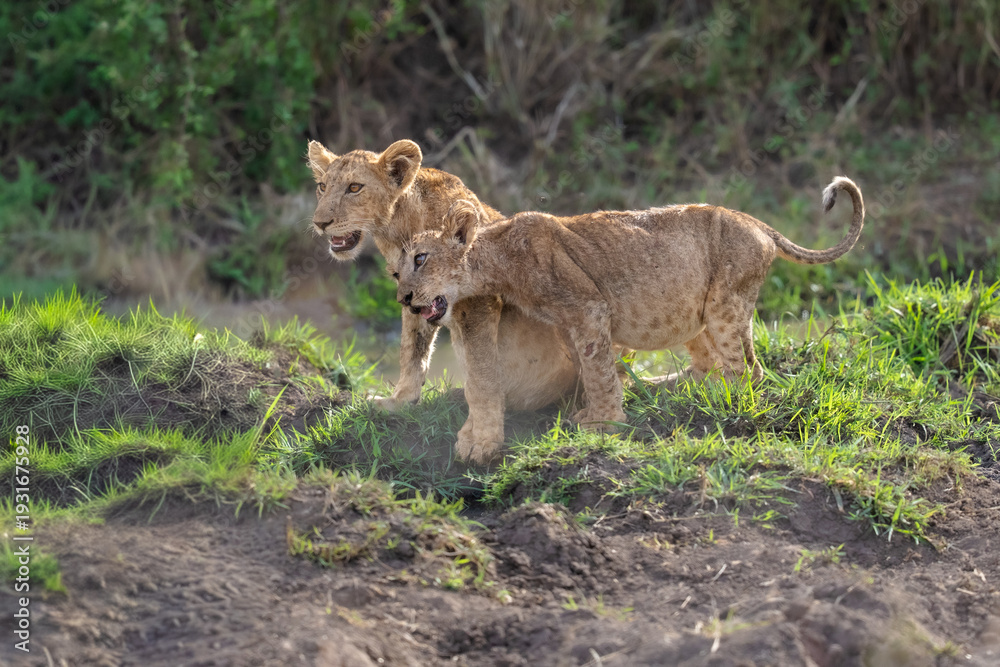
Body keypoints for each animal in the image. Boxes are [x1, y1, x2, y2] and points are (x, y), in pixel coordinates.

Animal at [307, 139, 580, 448]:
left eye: (354, 187)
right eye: (322, 186)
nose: (319, 223)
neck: (399, 228)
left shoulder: (477, 301)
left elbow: (480, 370)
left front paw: (482, 439)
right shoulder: (414, 295)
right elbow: (412, 349)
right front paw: (399, 402)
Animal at [396, 177, 865, 463]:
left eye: (420, 258)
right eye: (397, 271)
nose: (403, 298)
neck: (500, 257)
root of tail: (759, 224)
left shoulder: (588, 308)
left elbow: (599, 369)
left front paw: (602, 422)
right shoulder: (568, 323)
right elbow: (591, 365)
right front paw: (593, 407)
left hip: (724, 306)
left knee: (745, 370)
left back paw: (721, 402)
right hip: (697, 311)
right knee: (730, 364)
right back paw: (692, 390)